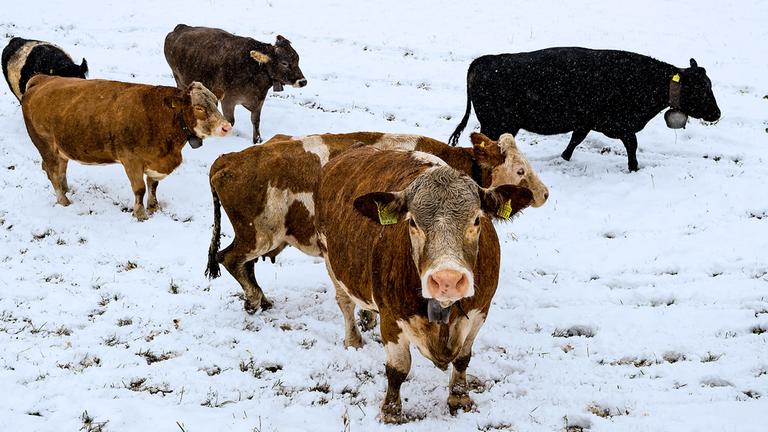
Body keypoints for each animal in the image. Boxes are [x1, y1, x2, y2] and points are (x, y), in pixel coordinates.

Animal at [21, 76, 231, 220]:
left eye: (216, 102)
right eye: (199, 108)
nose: (226, 126)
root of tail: (43, 79)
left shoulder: (155, 162)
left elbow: (153, 185)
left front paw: (154, 207)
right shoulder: (131, 159)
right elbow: (139, 189)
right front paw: (141, 215)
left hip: (61, 148)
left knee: (61, 168)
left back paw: (67, 189)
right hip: (45, 145)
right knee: (53, 172)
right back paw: (64, 201)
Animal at [164, 24, 307, 144]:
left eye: (297, 59)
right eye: (284, 63)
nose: (303, 81)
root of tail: (180, 27)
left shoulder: (259, 102)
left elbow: (256, 121)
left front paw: (258, 140)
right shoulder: (228, 100)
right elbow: (230, 121)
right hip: (178, 79)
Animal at [206, 132, 548, 313]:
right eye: (520, 170)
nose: (544, 193)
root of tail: (227, 160)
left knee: (243, 264)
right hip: (258, 236)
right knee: (230, 258)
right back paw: (257, 300)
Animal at [315, 146, 533, 422]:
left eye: (476, 220)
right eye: (412, 222)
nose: (447, 279)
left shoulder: (480, 311)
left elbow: (463, 358)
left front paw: (459, 398)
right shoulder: (392, 316)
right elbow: (398, 369)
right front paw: (391, 412)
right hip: (330, 260)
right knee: (344, 303)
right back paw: (353, 339)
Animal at [449, 48, 721, 171]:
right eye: (701, 88)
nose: (717, 114)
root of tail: (483, 60)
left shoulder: (585, 122)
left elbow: (575, 140)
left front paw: (564, 158)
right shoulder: (618, 125)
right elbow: (632, 144)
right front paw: (634, 168)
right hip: (497, 123)